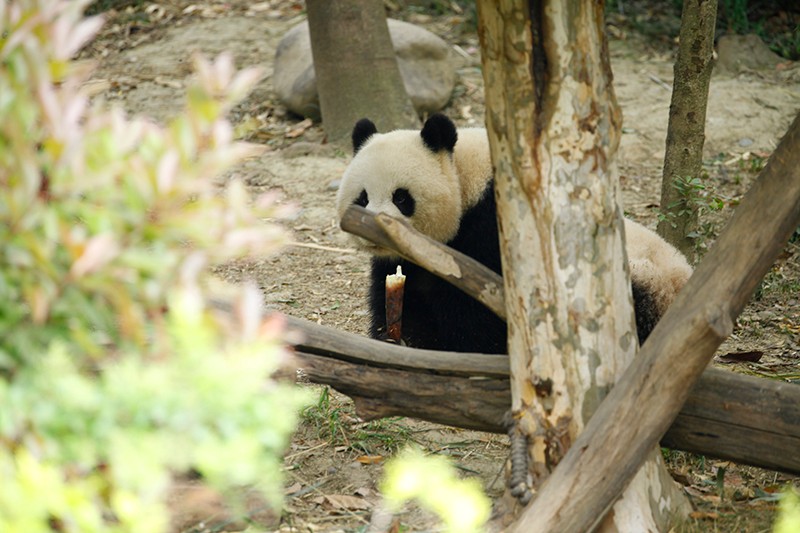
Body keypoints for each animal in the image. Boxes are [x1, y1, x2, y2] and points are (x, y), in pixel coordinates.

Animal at [336, 113, 692, 354]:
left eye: (401, 198)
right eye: (362, 197)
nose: (373, 228)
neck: (467, 177)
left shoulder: (488, 229)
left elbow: (477, 306)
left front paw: (460, 345)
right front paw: (400, 337)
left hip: (646, 279)